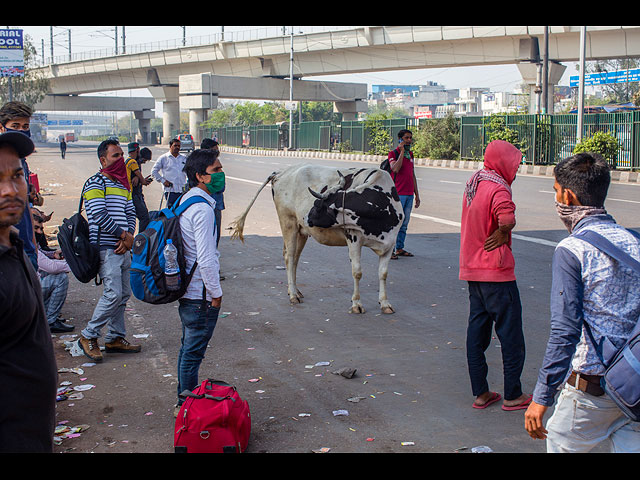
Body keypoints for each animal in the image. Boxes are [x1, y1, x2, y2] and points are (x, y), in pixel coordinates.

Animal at [228, 164, 402, 316]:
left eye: (318, 205)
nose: (306, 218)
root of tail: (282, 171)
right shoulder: (353, 238)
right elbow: (357, 272)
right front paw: (356, 304)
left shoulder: (390, 243)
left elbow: (383, 274)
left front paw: (385, 303)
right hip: (288, 223)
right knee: (289, 256)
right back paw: (293, 295)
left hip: (301, 232)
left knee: (294, 258)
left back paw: (295, 290)